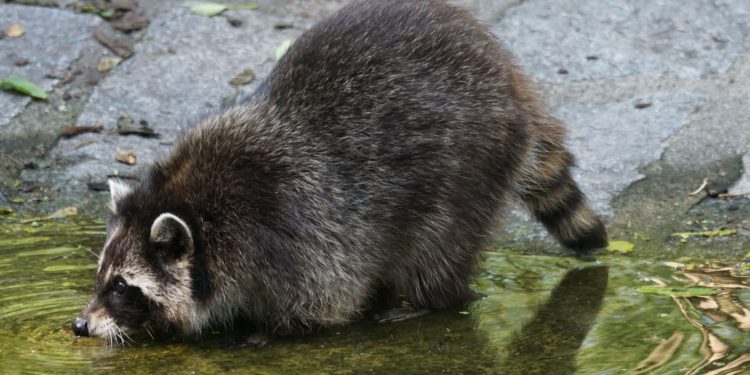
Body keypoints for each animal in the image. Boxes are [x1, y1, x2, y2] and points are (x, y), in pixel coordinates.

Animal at [72, 0, 612, 344]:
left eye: (122, 287)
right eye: (102, 277)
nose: (80, 325)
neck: (195, 203)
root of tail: (507, 75)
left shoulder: (290, 228)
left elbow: (323, 301)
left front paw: (263, 331)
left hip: (469, 162)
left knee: (437, 245)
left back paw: (425, 298)